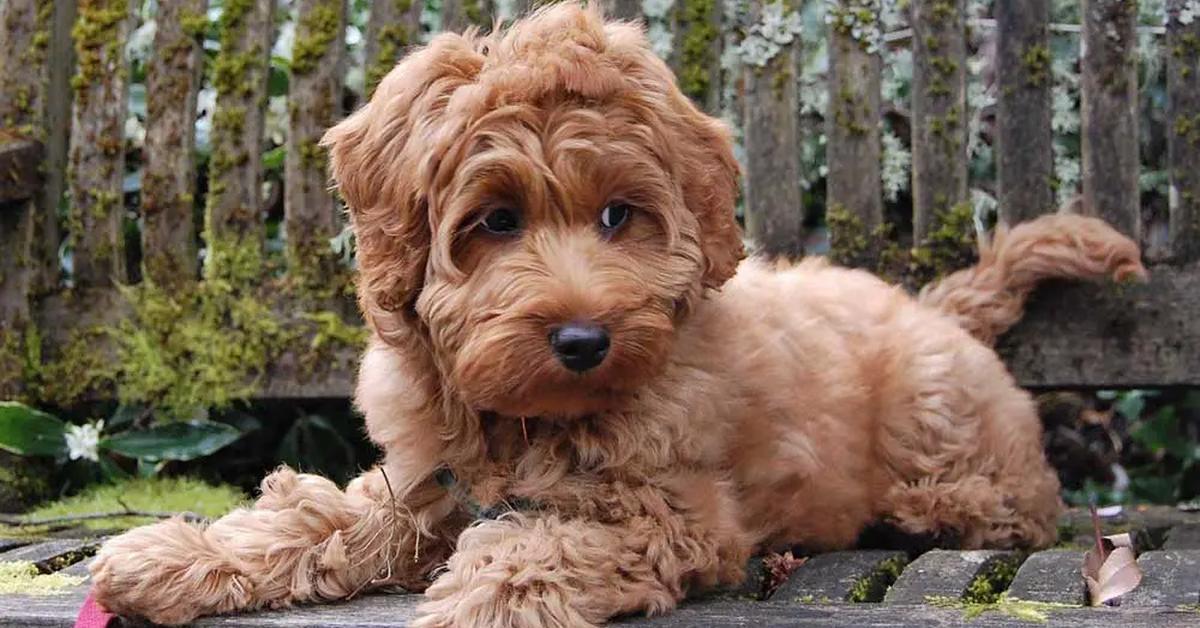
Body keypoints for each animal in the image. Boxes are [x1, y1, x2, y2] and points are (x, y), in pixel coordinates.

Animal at [91, 3, 1142, 624]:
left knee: (1012, 502)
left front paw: (482, 595)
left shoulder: (675, 514)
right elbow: (322, 517)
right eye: (495, 221)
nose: (584, 340)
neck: (529, 423)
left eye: (617, 216)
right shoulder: (424, 481)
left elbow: (550, 541)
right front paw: (176, 557)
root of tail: (937, 307)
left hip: (943, 432)